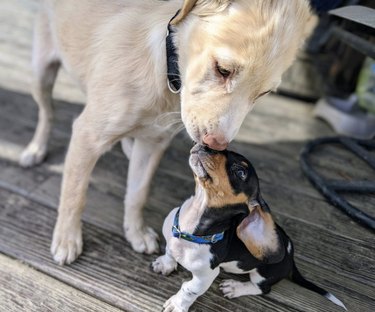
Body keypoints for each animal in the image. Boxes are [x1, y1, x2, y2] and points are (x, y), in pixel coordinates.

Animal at [20, 0, 314, 264]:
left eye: (264, 93)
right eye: (223, 70)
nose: (217, 145)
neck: (164, 69)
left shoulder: (154, 144)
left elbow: (138, 193)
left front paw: (135, 232)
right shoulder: (87, 136)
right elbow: (74, 195)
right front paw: (67, 239)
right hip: (41, 72)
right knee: (47, 112)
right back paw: (35, 149)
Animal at [152, 146, 346, 312]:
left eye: (240, 172)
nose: (207, 144)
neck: (189, 229)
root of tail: (290, 254)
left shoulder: (205, 276)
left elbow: (188, 290)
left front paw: (177, 305)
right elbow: (169, 252)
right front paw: (165, 264)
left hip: (263, 275)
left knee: (263, 289)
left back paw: (235, 287)